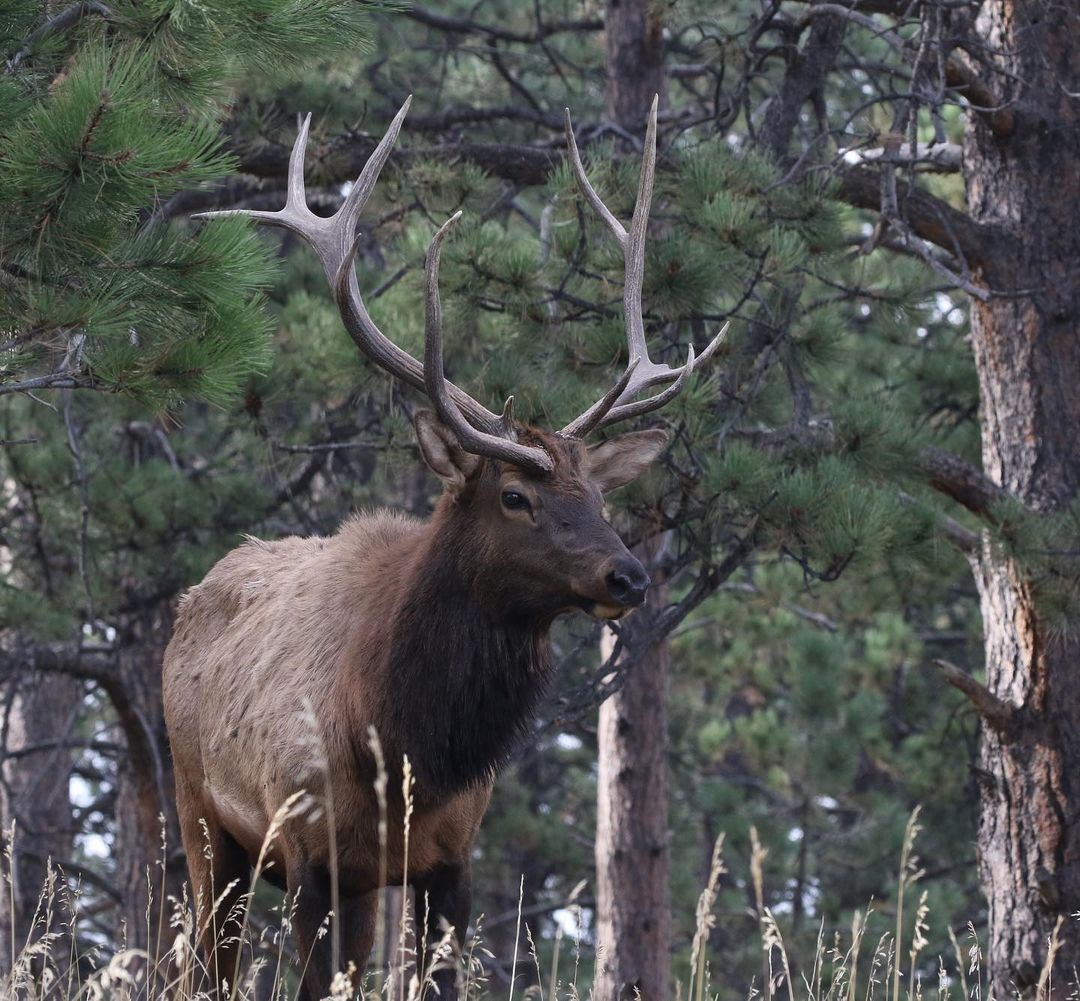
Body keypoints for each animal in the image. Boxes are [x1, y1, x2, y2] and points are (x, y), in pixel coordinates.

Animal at [163, 95, 726, 1001]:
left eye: (601, 496)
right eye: (515, 495)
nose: (629, 575)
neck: (401, 739)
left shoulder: (450, 858)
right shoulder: (310, 846)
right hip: (203, 819)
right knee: (200, 964)